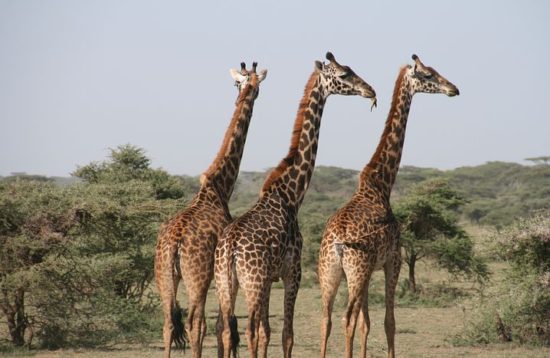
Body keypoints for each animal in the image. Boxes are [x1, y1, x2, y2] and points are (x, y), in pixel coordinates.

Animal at [154, 62, 268, 358]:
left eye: (241, 83)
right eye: (253, 85)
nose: (250, 93)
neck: (219, 187)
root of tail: (175, 243)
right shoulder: (220, 275)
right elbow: (222, 326)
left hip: (163, 276)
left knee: (168, 323)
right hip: (198, 278)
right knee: (196, 323)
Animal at [216, 51, 380, 358]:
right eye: (343, 75)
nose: (370, 91)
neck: (291, 194)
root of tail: (230, 249)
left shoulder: (271, 279)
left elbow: (267, 332)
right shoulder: (293, 272)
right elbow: (286, 334)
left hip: (225, 284)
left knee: (226, 330)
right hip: (252, 283)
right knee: (247, 330)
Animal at [320, 53, 462, 358]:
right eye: (428, 75)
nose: (453, 89)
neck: (380, 185)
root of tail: (337, 244)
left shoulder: (370, 269)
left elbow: (367, 323)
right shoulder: (393, 260)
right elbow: (388, 321)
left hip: (330, 272)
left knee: (326, 318)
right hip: (356, 270)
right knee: (346, 319)